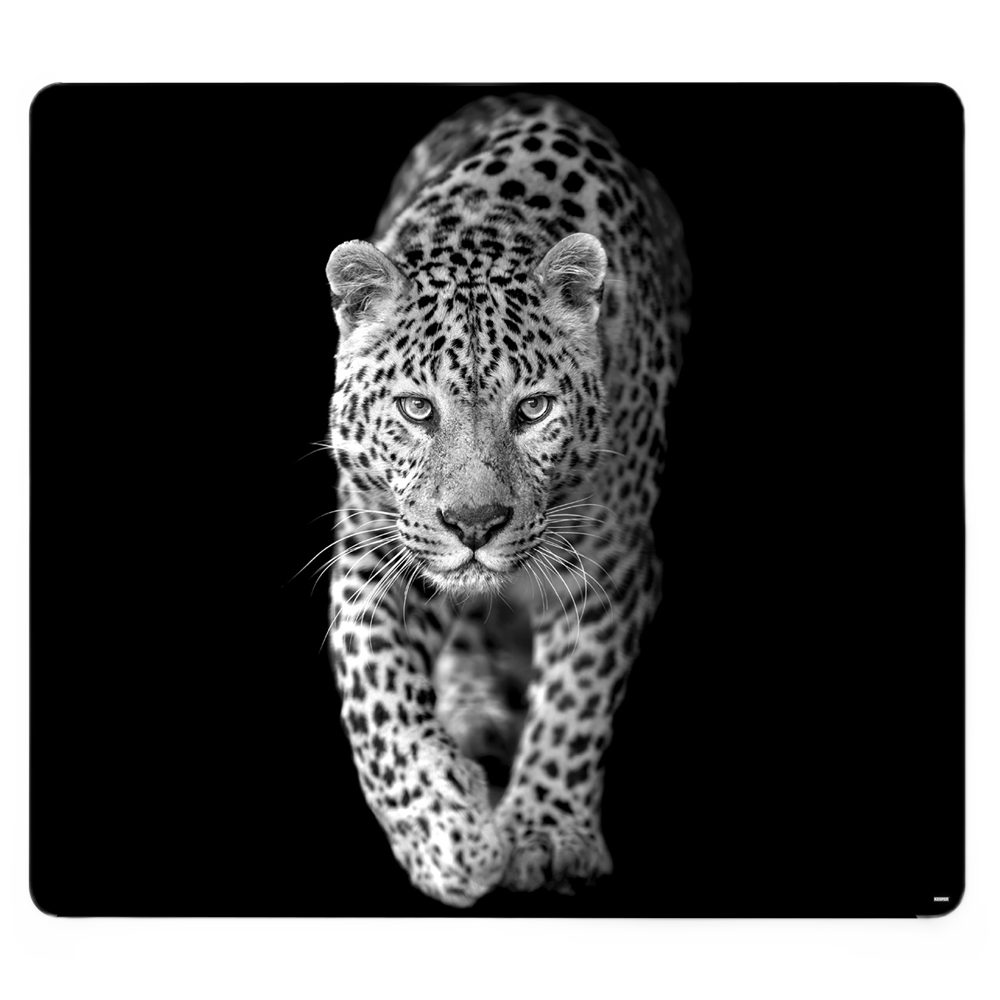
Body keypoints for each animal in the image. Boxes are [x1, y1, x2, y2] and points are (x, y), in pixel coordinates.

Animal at [322, 93, 690, 907]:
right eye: (417, 409)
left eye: (532, 410)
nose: (474, 525)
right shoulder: (370, 553)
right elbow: (381, 704)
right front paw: (447, 839)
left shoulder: (612, 564)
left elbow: (577, 701)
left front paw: (545, 833)